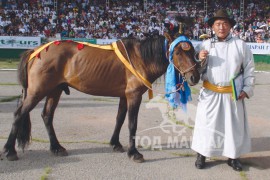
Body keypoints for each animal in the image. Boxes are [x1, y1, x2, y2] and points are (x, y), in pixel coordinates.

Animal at [2, 32, 200, 163]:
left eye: (193, 52)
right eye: (178, 53)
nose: (195, 77)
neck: (140, 58)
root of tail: (36, 50)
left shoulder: (124, 96)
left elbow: (119, 119)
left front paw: (115, 144)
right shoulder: (133, 96)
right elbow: (132, 124)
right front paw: (134, 152)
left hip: (54, 91)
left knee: (47, 116)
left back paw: (56, 148)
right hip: (37, 91)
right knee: (19, 114)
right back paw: (10, 151)